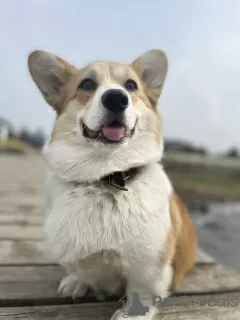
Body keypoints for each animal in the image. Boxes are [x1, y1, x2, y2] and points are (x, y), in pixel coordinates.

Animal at [28, 48, 197, 318]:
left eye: (131, 85)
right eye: (87, 84)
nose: (116, 98)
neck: (105, 176)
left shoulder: (149, 264)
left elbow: (141, 289)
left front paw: (132, 313)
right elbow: (80, 270)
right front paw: (77, 281)